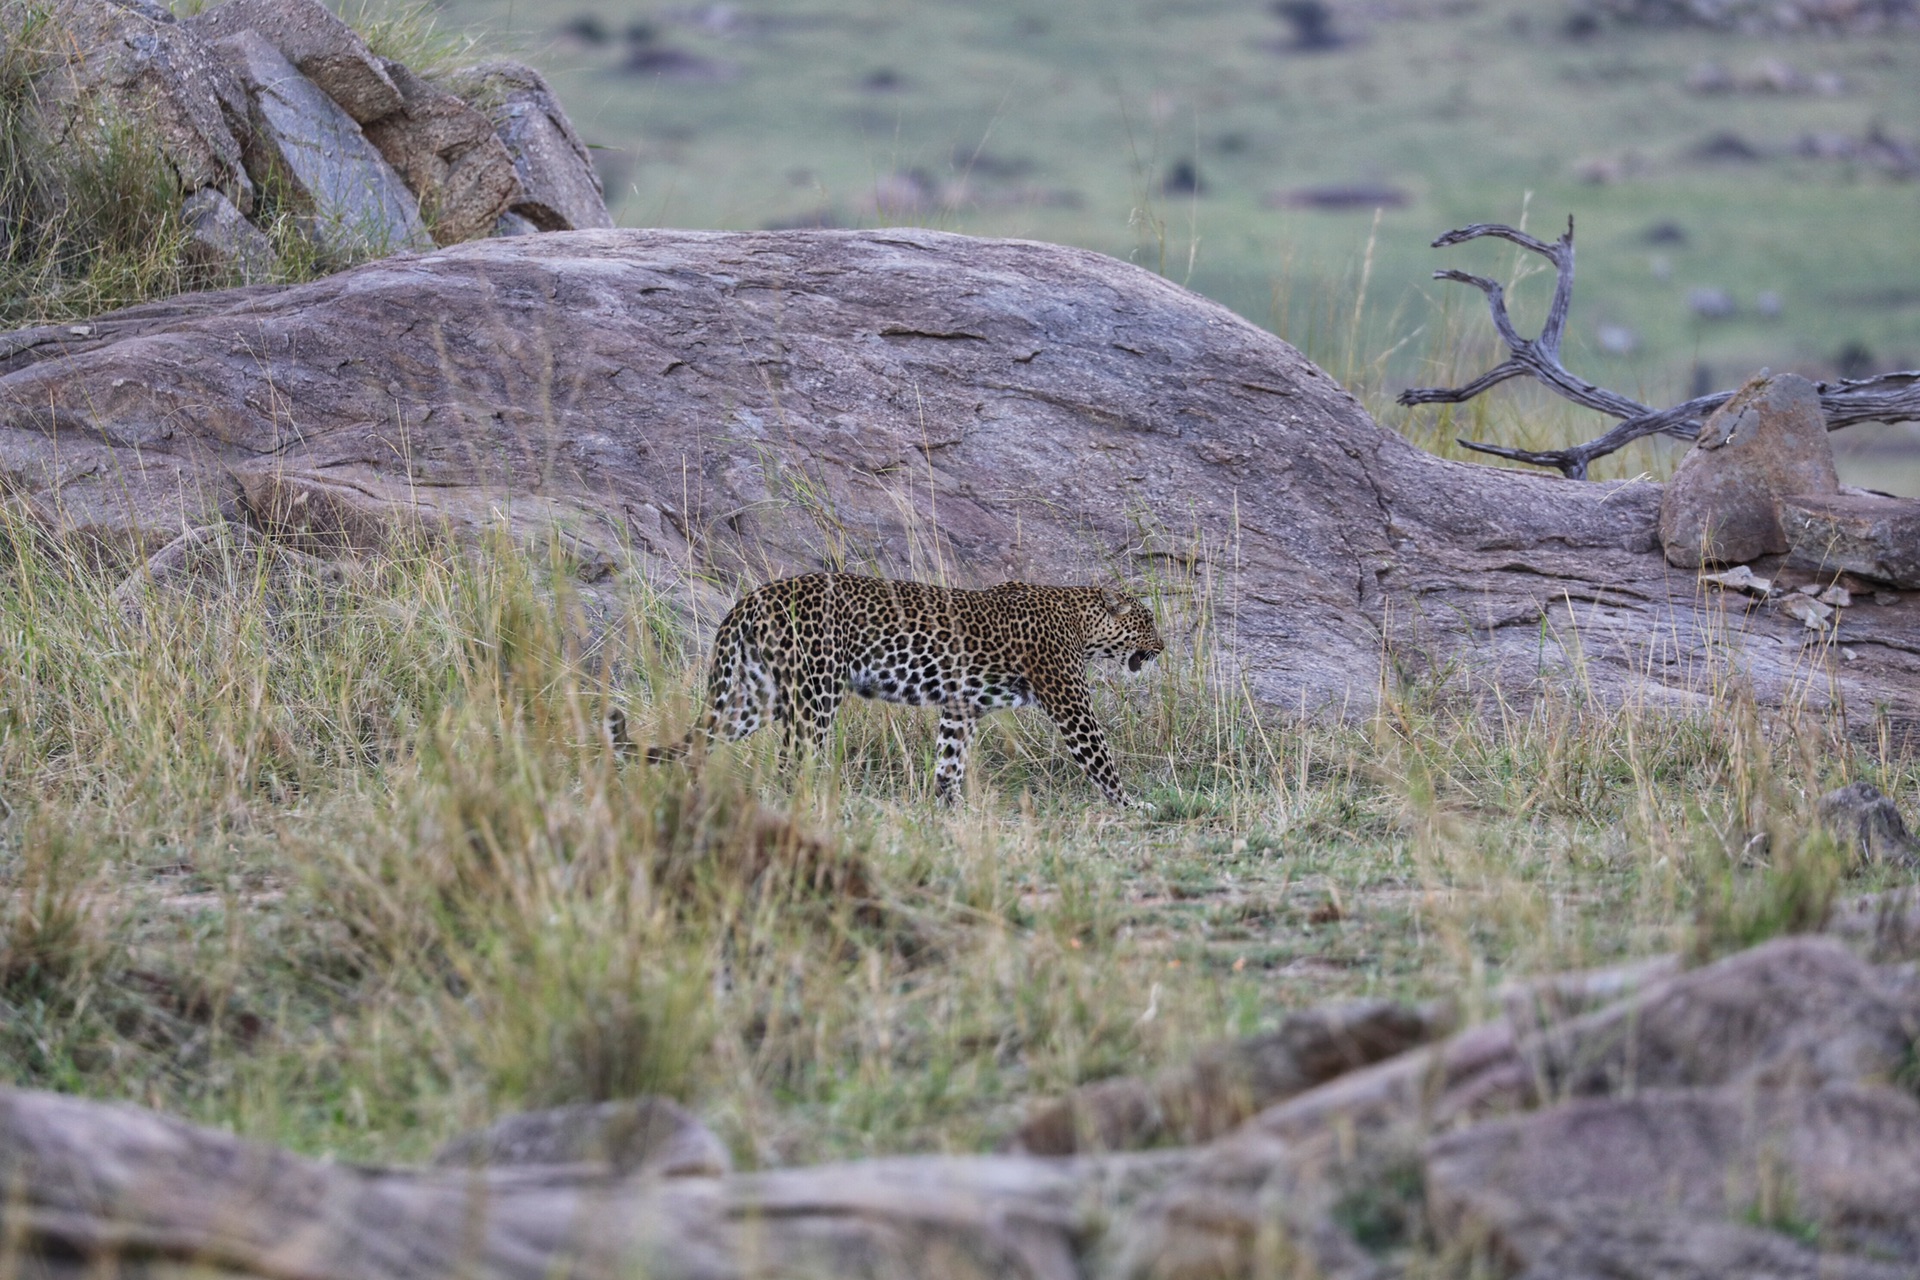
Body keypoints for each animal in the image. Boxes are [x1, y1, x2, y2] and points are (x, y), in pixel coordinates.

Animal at [645, 571, 1159, 805]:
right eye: (1148, 620)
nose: (1163, 647)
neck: (1081, 621)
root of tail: (752, 597)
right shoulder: (1070, 702)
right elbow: (1100, 756)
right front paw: (1133, 804)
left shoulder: (961, 707)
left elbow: (950, 760)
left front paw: (949, 808)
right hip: (815, 691)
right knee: (793, 758)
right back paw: (805, 803)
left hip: (756, 697)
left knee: (702, 741)